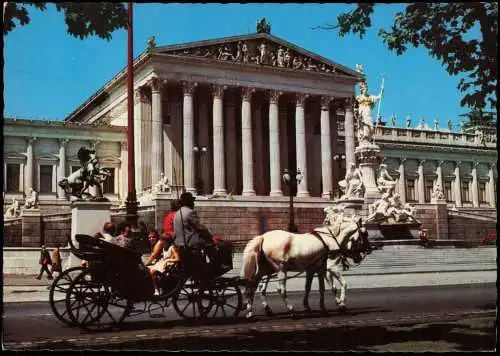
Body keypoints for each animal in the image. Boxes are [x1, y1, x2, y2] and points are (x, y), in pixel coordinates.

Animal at [242, 217, 372, 320]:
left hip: (264, 270)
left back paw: (251, 312)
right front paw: (329, 307)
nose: (369, 250)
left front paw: (307, 306)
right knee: (280, 290)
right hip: (280, 270)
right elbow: (325, 288)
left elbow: (308, 288)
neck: (329, 240)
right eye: (365, 234)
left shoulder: (311, 270)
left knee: (253, 287)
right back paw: (291, 310)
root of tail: (263, 236)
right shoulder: (324, 269)